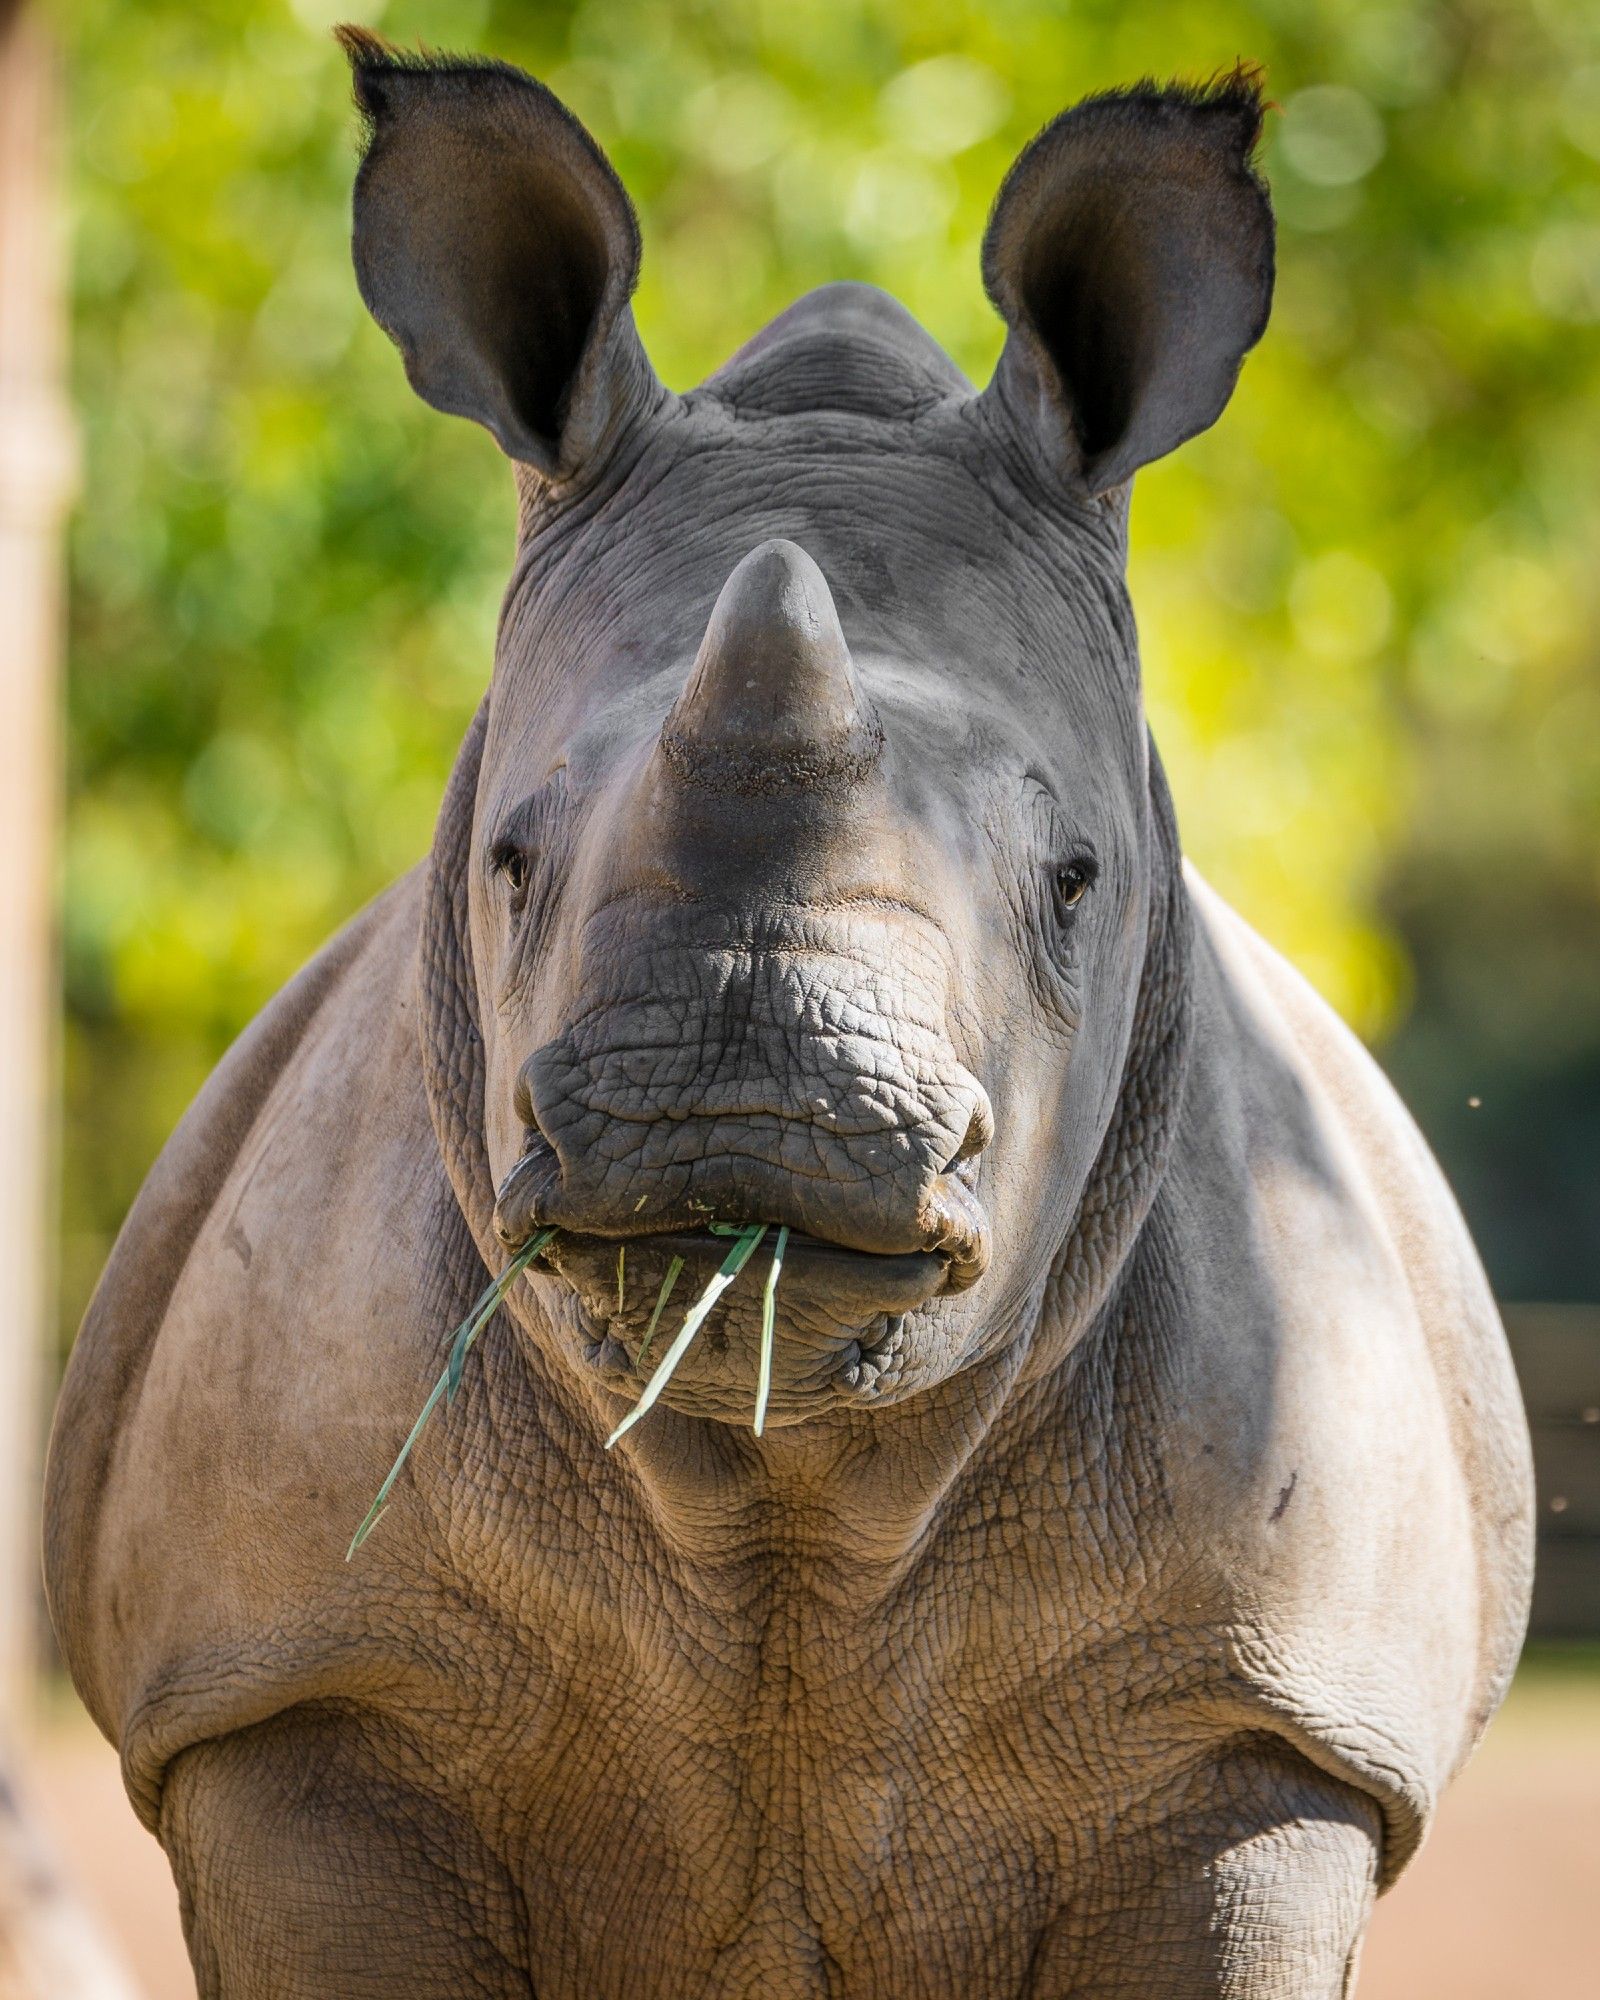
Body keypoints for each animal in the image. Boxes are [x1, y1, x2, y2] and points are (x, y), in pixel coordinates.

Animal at [43, 35, 1528, 2000]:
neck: (790, 1473)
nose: (744, 1118)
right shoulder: (298, 1692)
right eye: (511, 859)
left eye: (1076, 881)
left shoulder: (1255, 1731)